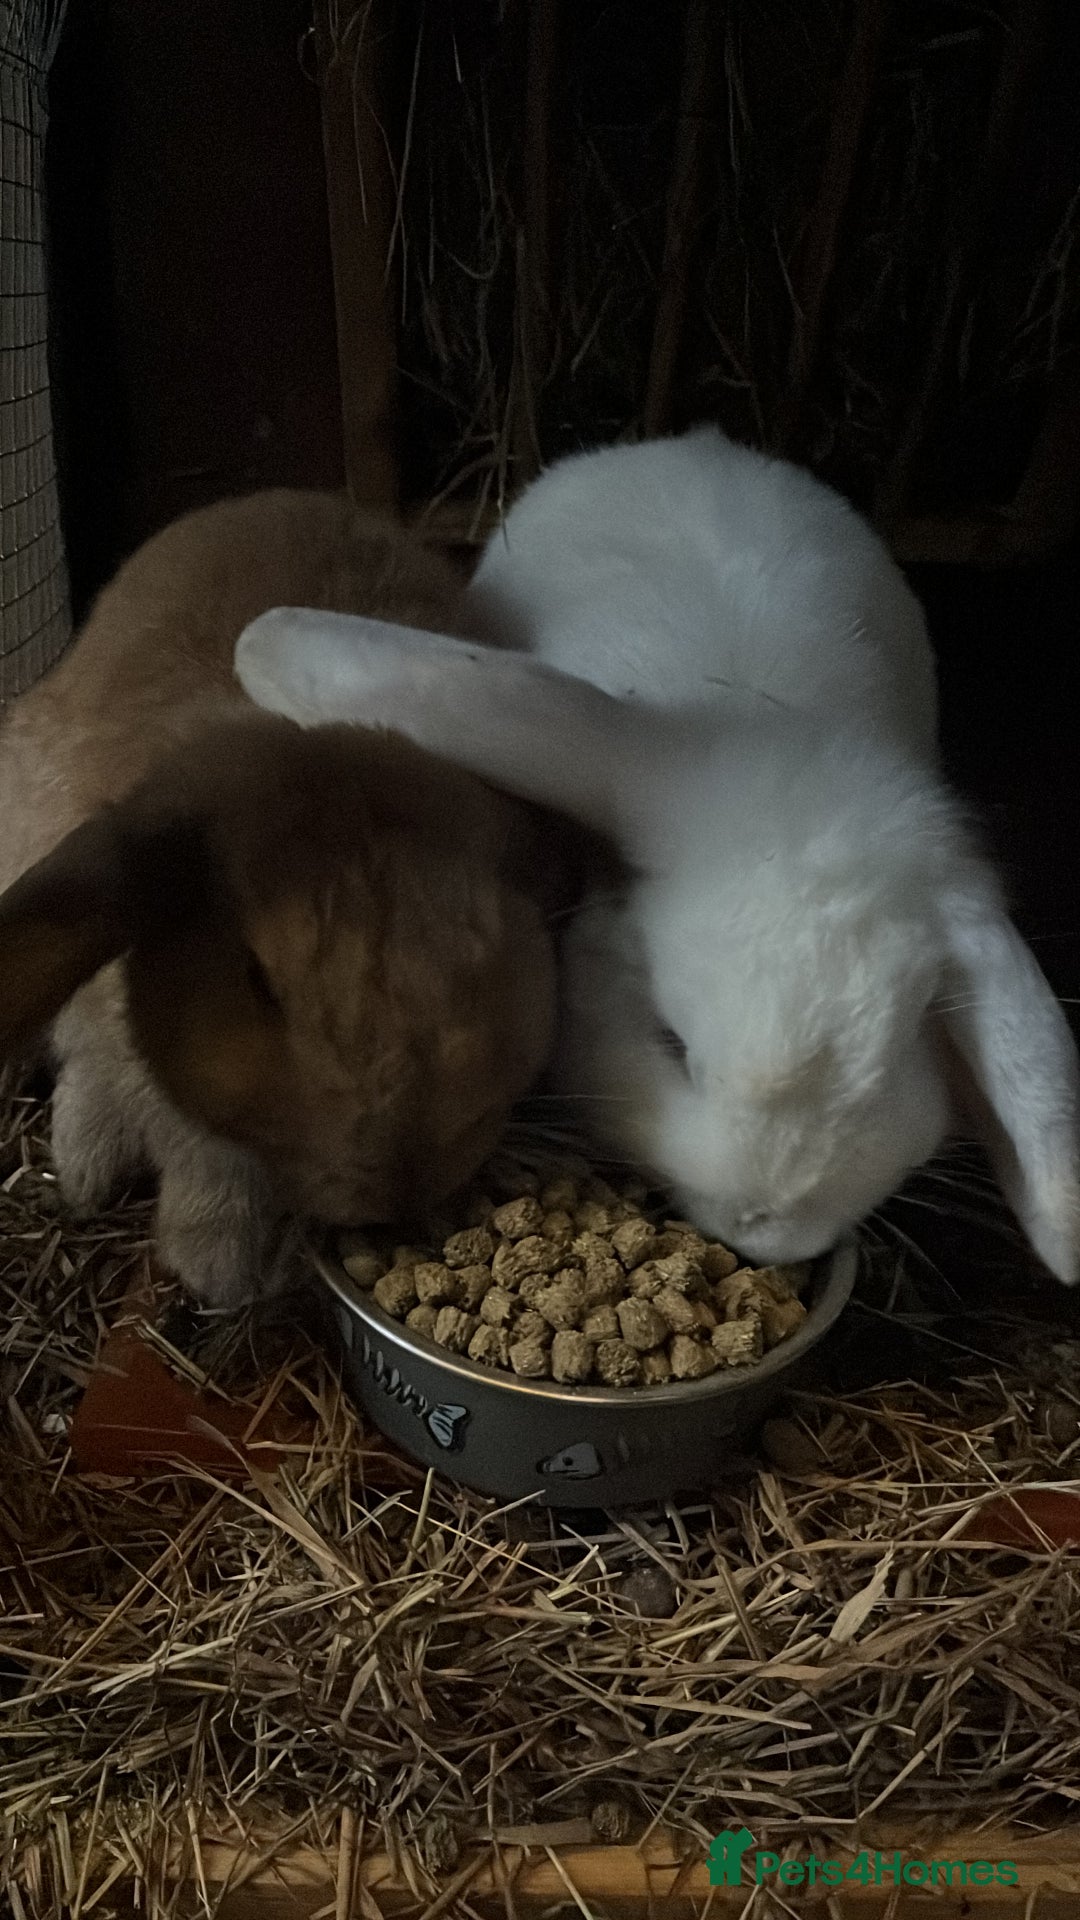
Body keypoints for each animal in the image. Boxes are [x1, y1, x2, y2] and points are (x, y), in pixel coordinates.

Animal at [0, 489, 563, 1306]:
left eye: (488, 955)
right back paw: (85, 1168)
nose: (402, 1186)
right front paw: (219, 1264)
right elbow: (197, 1139)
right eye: (257, 982)